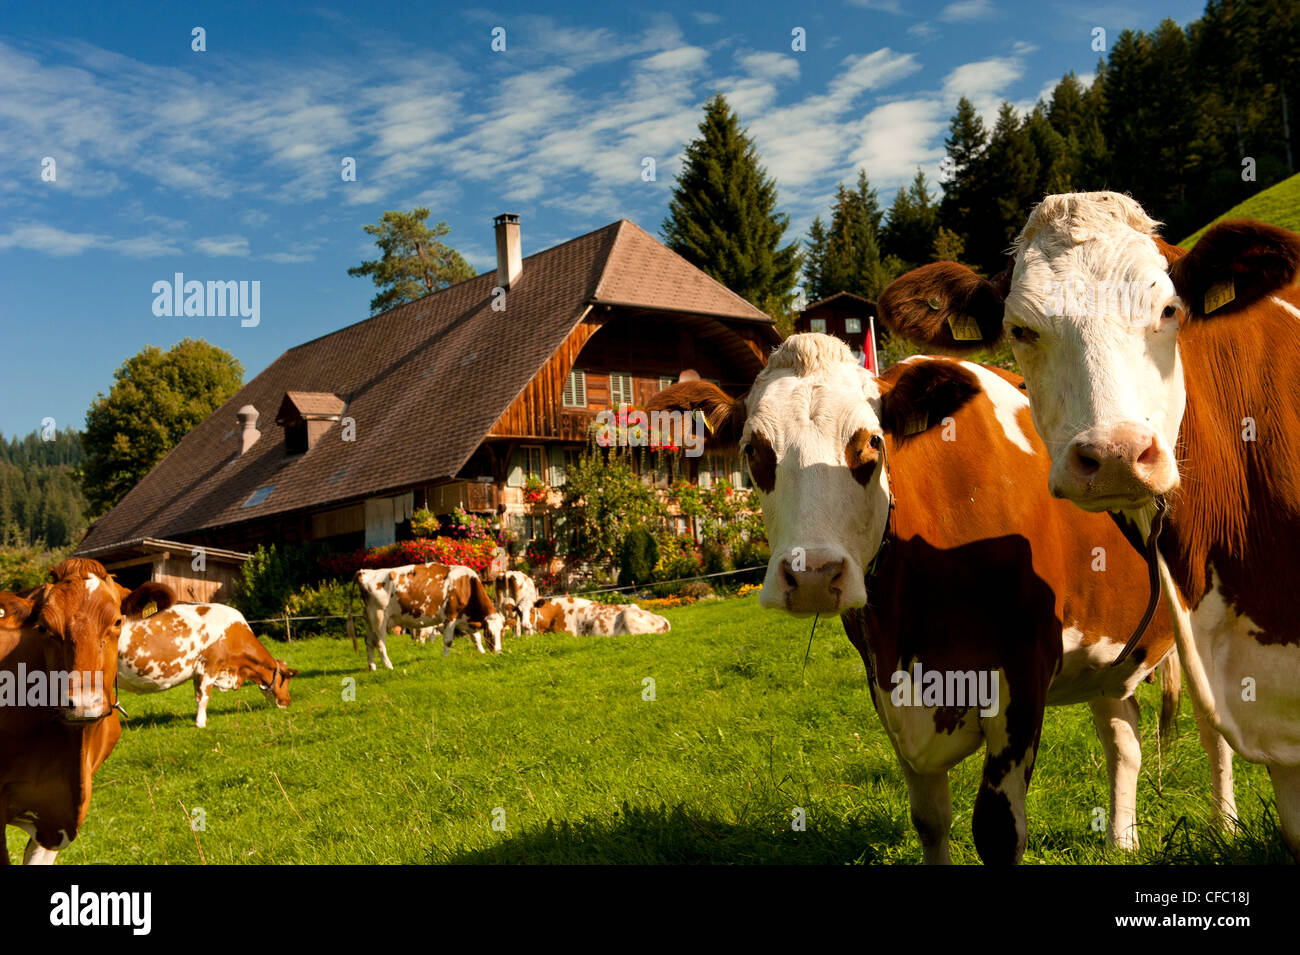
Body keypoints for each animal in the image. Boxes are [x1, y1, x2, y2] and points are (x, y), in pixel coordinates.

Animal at [115, 605, 299, 732]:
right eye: (286, 679)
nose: (287, 702)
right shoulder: (209, 667)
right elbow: (204, 697)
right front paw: (201, 723)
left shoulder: (199, 672)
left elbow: (199, 697)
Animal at [348, 563, 504, 670]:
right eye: (489, 633)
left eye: (502, 632)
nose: (497, 651)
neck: (466, 584)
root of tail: (364, 571)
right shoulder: (450, 616)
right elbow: (448, 641)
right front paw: (445, 658)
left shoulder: (465, 618)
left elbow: (475, 637)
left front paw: (481, 652)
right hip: (379, 617)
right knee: (380, 643)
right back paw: (389, 666)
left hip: (371, 619)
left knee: (369, 641)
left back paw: (372, 667)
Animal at [650, 337, 1227, 867]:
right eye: (754, 451)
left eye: (871, 444)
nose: (812, 575)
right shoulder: (885, 687)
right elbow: (929, 819)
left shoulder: (1023, 672)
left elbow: (997, 832)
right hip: (1108, 656)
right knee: (1123, 742)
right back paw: (1121, 842)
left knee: (1213, 728)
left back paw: (1225, 828)